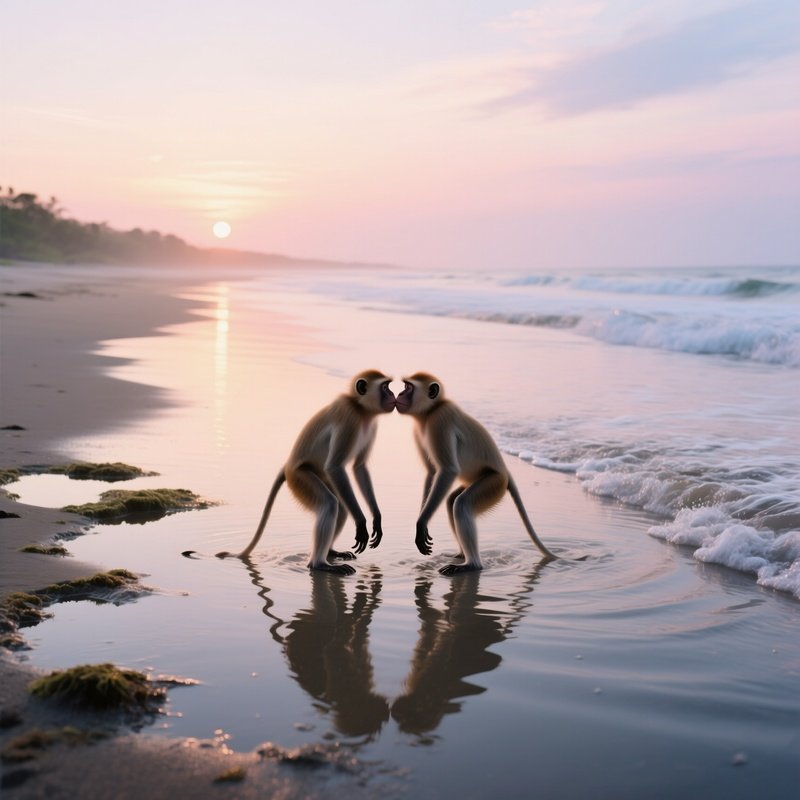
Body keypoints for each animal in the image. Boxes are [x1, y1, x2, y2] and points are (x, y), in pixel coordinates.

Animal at [216, 370, 396, 574]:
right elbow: (335, 467)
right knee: (330, 503)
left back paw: (330, 552)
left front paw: (376, 519)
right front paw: (361, 523)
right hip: (300, 478)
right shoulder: (350, 418)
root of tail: (287, 466)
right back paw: (319, 564)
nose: (393, 395)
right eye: (385, 387)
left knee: (340, 507)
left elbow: (359, 467)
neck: (360, 409)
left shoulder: (371, 424)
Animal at [395, 372, 558, 575]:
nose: (399, 394)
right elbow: (432, 472)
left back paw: (472, 564)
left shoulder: (440, 419)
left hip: (494, 483)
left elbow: (447, 471)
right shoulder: (419, 428)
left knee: (461, 503)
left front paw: (421, 524)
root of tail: (505, 472)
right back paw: (461, 555)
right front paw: (423, 522)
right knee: (452, 501)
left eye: (408, 387)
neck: (432, 410)